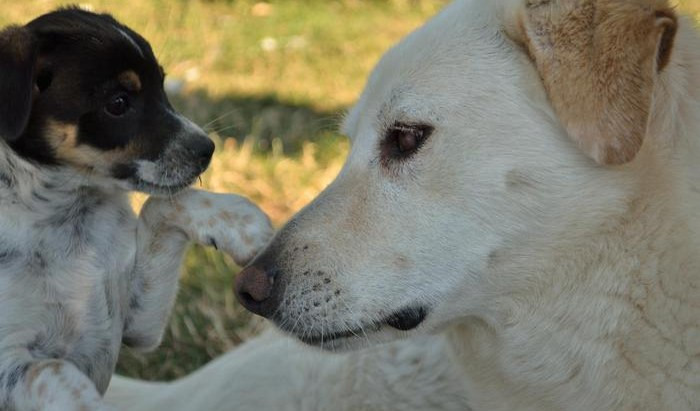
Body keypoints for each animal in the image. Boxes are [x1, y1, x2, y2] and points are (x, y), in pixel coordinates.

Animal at [0, 7, 274, 411]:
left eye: (162, 84)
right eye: (118, 103)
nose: (207, 150)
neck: (68, 212)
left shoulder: (137, 325)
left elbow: (162, 206)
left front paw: (241, 223)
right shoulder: (10, 362)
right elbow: (55, 372)